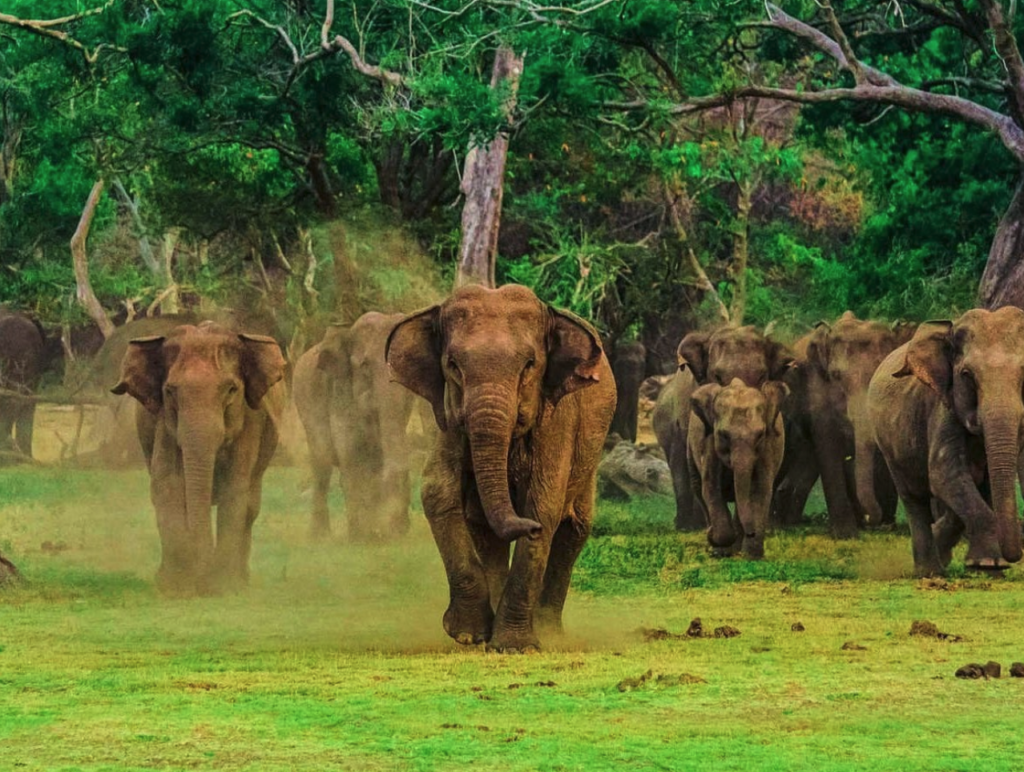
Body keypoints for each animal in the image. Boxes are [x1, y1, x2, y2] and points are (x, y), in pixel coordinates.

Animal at [112, 321, 286, 595]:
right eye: (170, 391)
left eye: (231, 390)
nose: (201, 580)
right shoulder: (164, 422)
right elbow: (168, 484)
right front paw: (176, 587)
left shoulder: (251, 419)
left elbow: (235, 487)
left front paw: (222, 587)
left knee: (251, 505)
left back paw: (241, 580)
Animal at [293, 312, 419, 541]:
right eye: (365, 366)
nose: (401, 528)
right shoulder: (340, 389)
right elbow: (350, 450)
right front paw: (362, 538)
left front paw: (384, 533)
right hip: (304, 400)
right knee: (322, 464)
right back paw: (320, 536)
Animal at [386, 284, 616, 652]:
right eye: (452, 365)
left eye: (530, 365)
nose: (528, 528)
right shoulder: (449, 420)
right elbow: (437, 493)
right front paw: (468, 635)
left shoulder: (557, 419)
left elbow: (543, 505)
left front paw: (515, 647)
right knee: (484, 529)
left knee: (574, 529)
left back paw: (549, 632)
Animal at [688, 379, 788, 559]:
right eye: (723, 435)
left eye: (760, 435)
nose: (751, 533)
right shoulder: (709, 442)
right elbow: (711, 488)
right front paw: (718, 542)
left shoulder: (767, 447)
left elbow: (760, 489)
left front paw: (752, 557)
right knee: (698, 488)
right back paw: (718, 548)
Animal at [868, 308, 1024, 576]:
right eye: (966, 375)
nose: (1015, 556)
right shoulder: (942, 408)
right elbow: (945, 473)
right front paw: (987, 564)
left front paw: (987, 565)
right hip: (889, 445)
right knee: (914, 497)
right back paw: (930, 571)